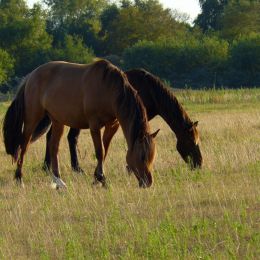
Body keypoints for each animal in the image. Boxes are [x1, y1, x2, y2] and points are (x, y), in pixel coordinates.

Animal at [3, 60, 159, 188]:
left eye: (152, 155)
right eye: (142, 156)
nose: (148, 182)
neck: (109, 88)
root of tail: (30, 76)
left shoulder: (112, 125)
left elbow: (105, 150)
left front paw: (96, 178)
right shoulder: (94, 125)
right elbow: (100, 151)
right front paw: (102, 179)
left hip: (57, 121)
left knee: (54, 147)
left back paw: (58, 181)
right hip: (32, 118)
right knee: (24, 146)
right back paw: (19, 178)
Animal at [37, 68, 202, 173]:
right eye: (191, 142)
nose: (199, 164)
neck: (150, 90)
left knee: (56, 137)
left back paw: (51, 166)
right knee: (69, 138)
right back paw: (69, 168)